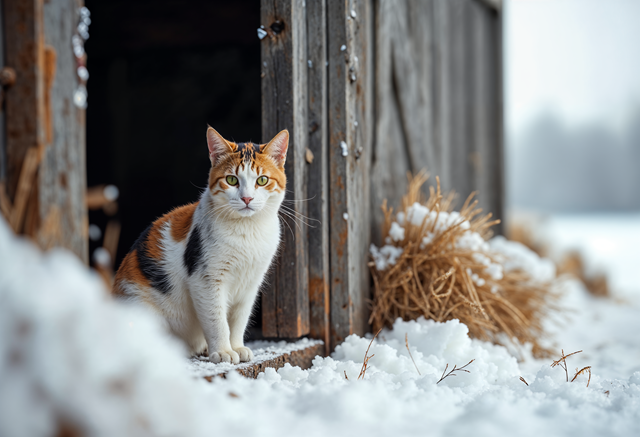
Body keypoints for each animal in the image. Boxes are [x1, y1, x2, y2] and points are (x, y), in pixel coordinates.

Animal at [112, 127, 288, 364]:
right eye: (231, 180)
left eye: (262, 180)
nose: (247, 199)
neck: (247, 230)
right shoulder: (206, 280)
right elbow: (217, 320)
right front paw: (223, 352)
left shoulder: (250, 284)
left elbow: (238, 319)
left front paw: (237, 347)